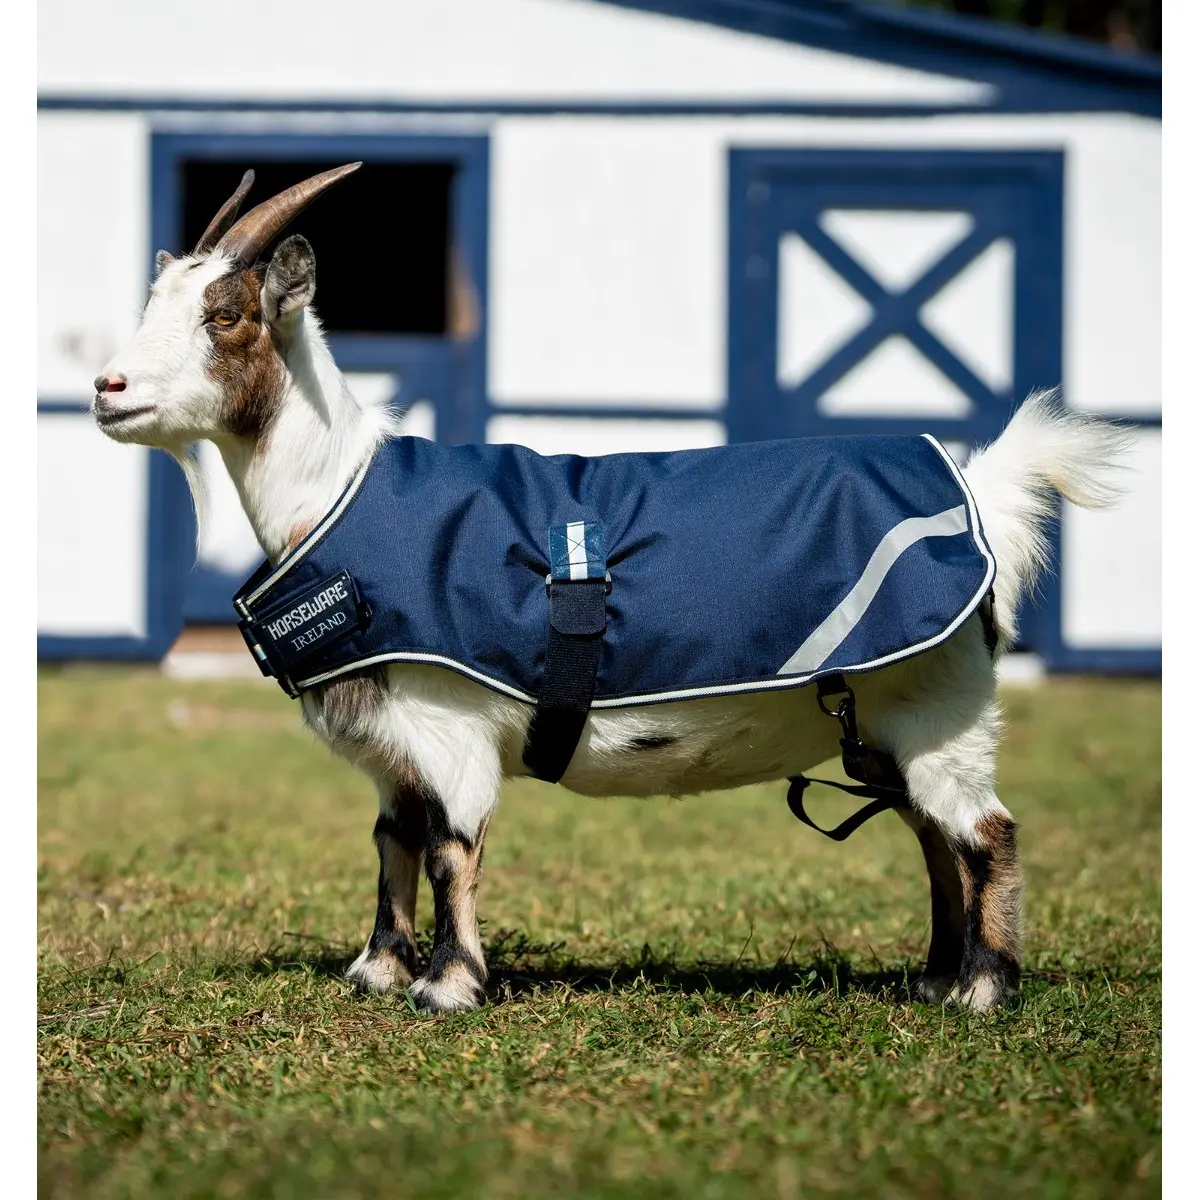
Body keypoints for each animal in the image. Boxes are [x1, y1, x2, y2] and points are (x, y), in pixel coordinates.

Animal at [93, 165, 1131, 1015]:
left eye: (226, 316)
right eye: (155, 301)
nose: (108, 388)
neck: (338, 493)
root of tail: (981, 491)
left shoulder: (448, 722)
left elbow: (450, 845)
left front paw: (448, 987)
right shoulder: (395, 744)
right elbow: (393, 839)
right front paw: (377, 971)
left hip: (940, 708)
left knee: (985, 833)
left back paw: (983, 991)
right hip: (891, 723)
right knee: (931, 838)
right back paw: (933, 979)